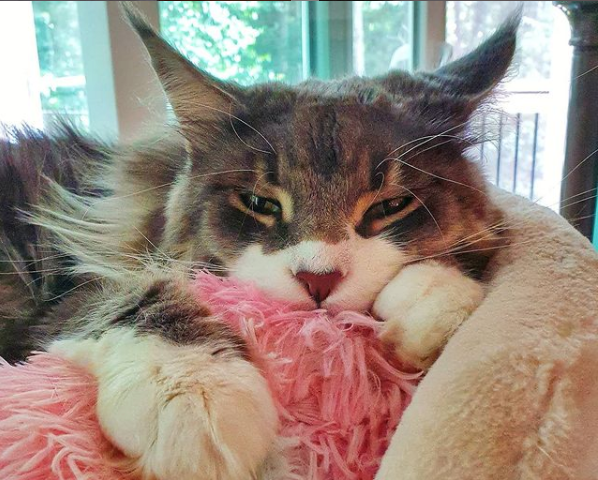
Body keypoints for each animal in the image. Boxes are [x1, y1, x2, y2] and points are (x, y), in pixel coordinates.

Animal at [0, 6, 516, 480]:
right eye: (259, 203)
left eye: (390, 206)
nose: (317, 279)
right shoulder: (71, 289)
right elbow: (133, 297)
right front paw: (195, 394)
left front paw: (423, 310)